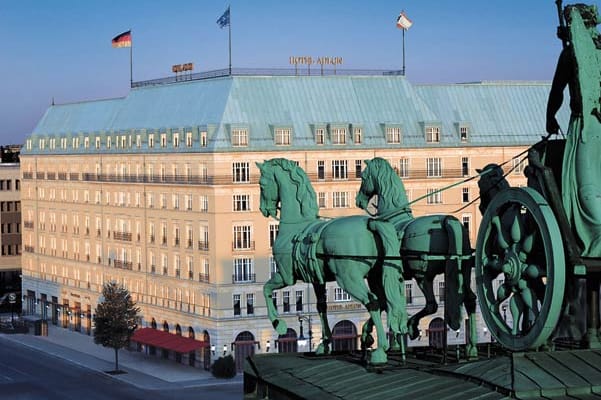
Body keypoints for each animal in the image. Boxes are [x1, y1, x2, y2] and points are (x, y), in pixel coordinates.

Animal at [258, 158, 408, 364]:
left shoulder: (286, 276)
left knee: (373, 302)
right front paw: (325, 343)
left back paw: (380, 350)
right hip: (376, 276)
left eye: (262, 184)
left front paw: (278, 323)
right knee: (386, 302)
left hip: (348, 279)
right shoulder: (316, 280)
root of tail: (370, 222)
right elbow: (321, 307)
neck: (296, 227)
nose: (264, 210)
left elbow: (266, 289)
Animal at [356, 157, 478, 360]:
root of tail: (448, 220)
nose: (359, 201)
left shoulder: (377, 278)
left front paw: (370, 336)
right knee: (469, 299)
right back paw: (472, 347)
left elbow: (382, 303)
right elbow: (388, 303)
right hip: (464, 271)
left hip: (422, 276)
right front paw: (395, 343)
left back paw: (412, 326)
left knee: (432, 305)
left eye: (364, 176)